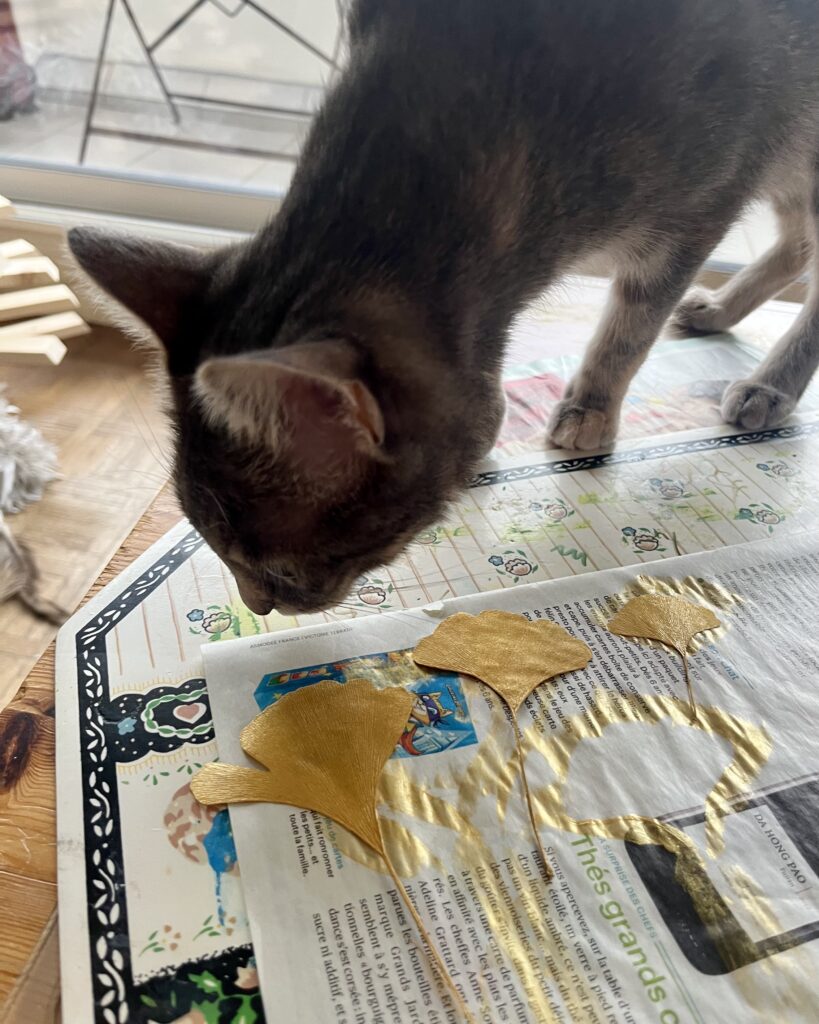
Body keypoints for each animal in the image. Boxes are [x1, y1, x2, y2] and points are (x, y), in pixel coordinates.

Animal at [69, 0, 819, 615]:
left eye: (279, 570)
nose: (256, 607)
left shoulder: (702, 206)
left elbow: (628, 327)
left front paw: (591, 405)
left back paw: (770, 383)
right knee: (799, 241)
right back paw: (720, 309)